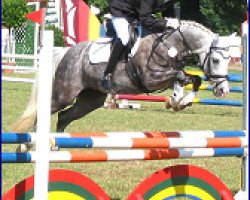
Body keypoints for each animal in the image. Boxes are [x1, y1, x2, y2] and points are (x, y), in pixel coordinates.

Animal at [11, 19, 232, 133]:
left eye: (230, 59)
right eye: (215, 60)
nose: (223, 91)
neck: (169, 45)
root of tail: (67, 52)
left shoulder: (167, 75)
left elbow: (192, 79)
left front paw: (179, 101)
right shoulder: (150, 79)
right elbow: (180, 76)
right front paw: (176, 99)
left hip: (91, 100)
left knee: (65, 116)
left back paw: (56, 146)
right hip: (64, 95)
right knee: (45, 112)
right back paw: (30, 145)